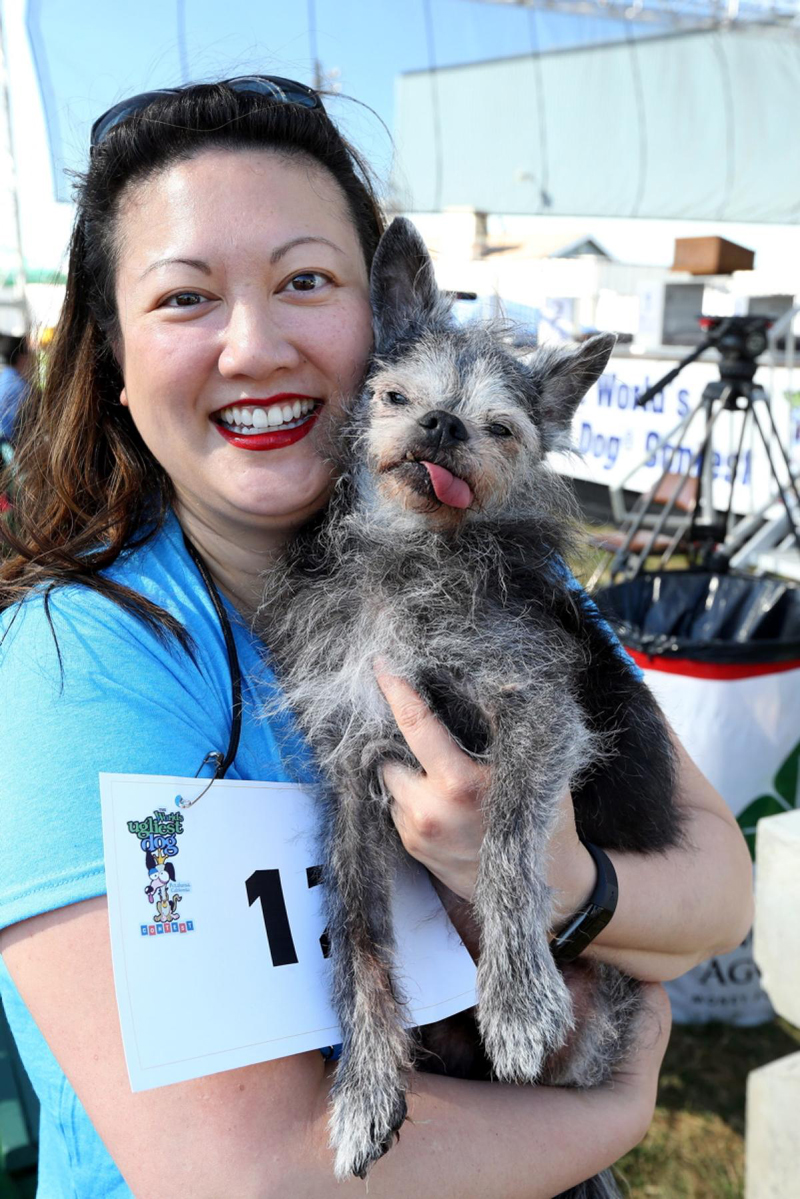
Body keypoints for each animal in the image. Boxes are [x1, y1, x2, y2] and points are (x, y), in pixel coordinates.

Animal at [261, 215, 681, 1189]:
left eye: (501, 426)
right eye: (393, 393)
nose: (442, 423)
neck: (407, 557)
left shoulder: (539, 708)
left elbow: (508, 838)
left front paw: (519, 995)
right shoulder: (350, 770)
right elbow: (358, 935)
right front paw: (367, 1083)